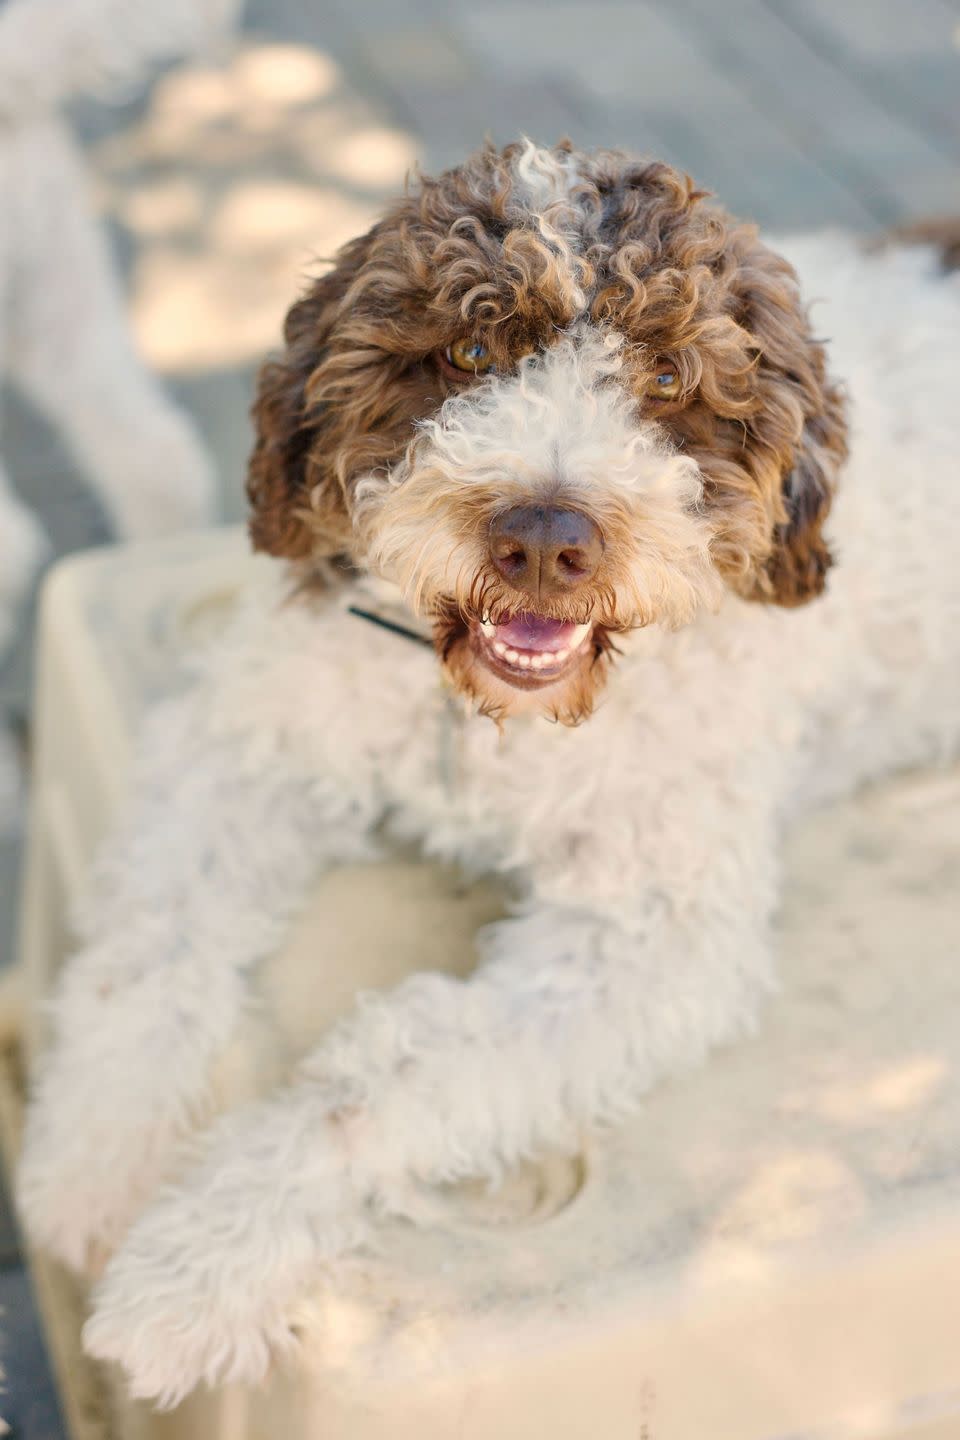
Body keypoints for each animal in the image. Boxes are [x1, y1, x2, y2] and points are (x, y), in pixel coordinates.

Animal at [15, 140, 960, 1399]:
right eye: (469, 353)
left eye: (667, 374)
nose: (546, 540)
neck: (486, 721)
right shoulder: (249, 737)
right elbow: (145, 958)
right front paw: (91, 1169)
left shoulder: (648, 936)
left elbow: (386, 1075)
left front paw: (196, 1267)